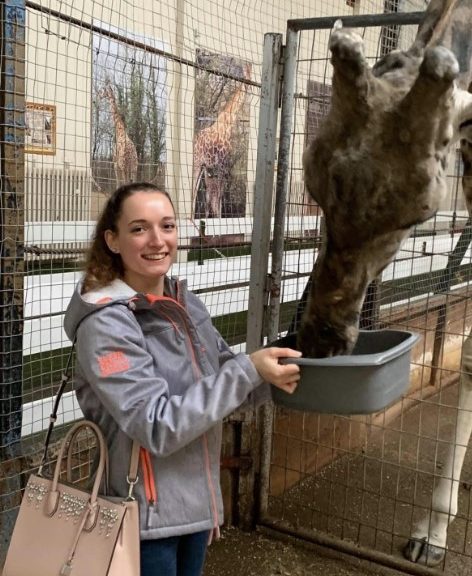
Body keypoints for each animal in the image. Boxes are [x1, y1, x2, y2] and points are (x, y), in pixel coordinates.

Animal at [192, 62, 251, 216]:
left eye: (251, 74)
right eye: (245, 74)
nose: (248, 85)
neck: (227, 123)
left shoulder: (217, 168)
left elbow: (214, 200)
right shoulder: (223, 165)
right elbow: (218, 200)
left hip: (206, 168)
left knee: (206, 198)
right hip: (198, 162)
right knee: (194, 192)